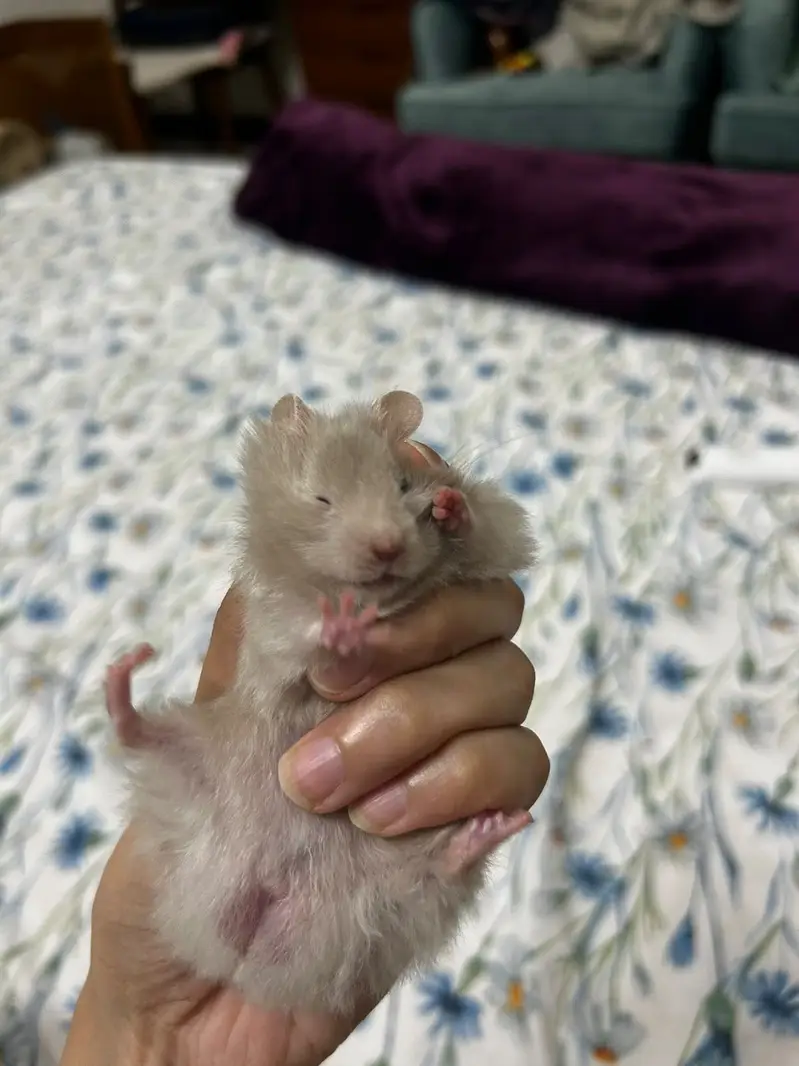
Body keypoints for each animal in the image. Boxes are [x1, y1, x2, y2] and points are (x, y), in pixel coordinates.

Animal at [104, 390, 537, 1016]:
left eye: (403, 484)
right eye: (321, 498)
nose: (387, 545)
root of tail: (248, 952)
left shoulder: (498, 543)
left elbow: (488, 528)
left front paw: (449, 505)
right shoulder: (274, 635)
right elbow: (305, 643)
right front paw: (341, 628)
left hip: (400, 889)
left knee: (438, 869)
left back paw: (493, 826)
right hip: (197, 761)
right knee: (141, 736)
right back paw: (124, 674)